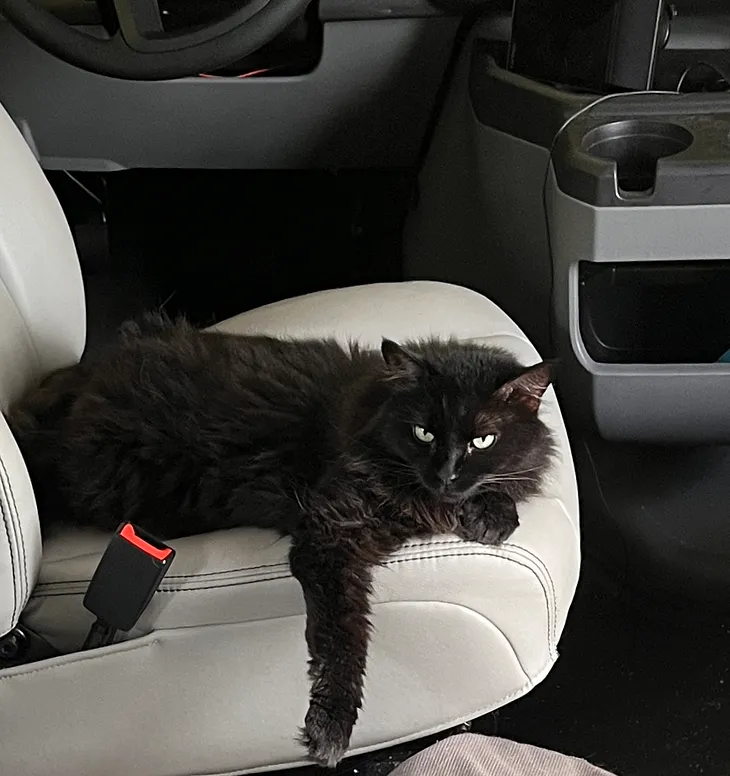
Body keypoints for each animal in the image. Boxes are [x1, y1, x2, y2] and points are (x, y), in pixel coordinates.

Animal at [5, 314, 556, 764]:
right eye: (424, 433)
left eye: (482, 440)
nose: (445, 475)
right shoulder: (331, 534)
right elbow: (342, 638)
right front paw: (331, 728)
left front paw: (492, 513)